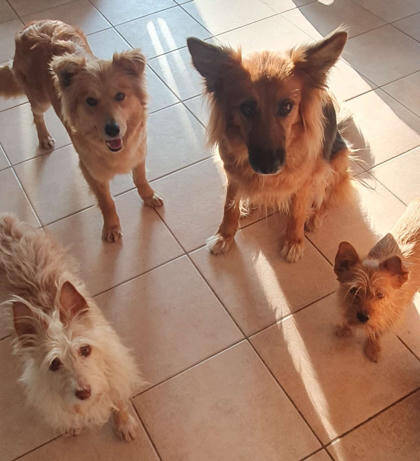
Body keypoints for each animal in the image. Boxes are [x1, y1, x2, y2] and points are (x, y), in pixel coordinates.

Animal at [0, 20, 162, 242]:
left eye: (120, 96)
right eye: (91, 101)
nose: (113, 129)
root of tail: (33, 24)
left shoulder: (138, 153)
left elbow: (141, 178)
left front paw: (148, 196)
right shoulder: (90, 170)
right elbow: (106, 201)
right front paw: (111, 226)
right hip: (39, 98)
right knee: (36, 114)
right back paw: (44, 137)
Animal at [0, 214, 143, 439]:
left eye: (85, 350)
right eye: (54, 364)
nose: (84, 392)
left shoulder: (116, 367)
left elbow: (118, 396)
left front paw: (124, 422)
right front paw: (72, 424)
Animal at [187, 30, 352, 262]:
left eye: (287, 106)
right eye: (247, 108)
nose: (268, 167)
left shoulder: (305, 180)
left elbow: (297, 211)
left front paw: (294, 240)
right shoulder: (233, 172)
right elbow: (229, 207)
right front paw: (224, 235)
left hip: (337, 161)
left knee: (326, 197)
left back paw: (314, 217)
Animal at [334, 199, 420, 362]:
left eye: (380, 295)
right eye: (353, 290)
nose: (362, 317)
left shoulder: (391, 318)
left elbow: (379, 331)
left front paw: (372, 347)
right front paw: (345, 328)